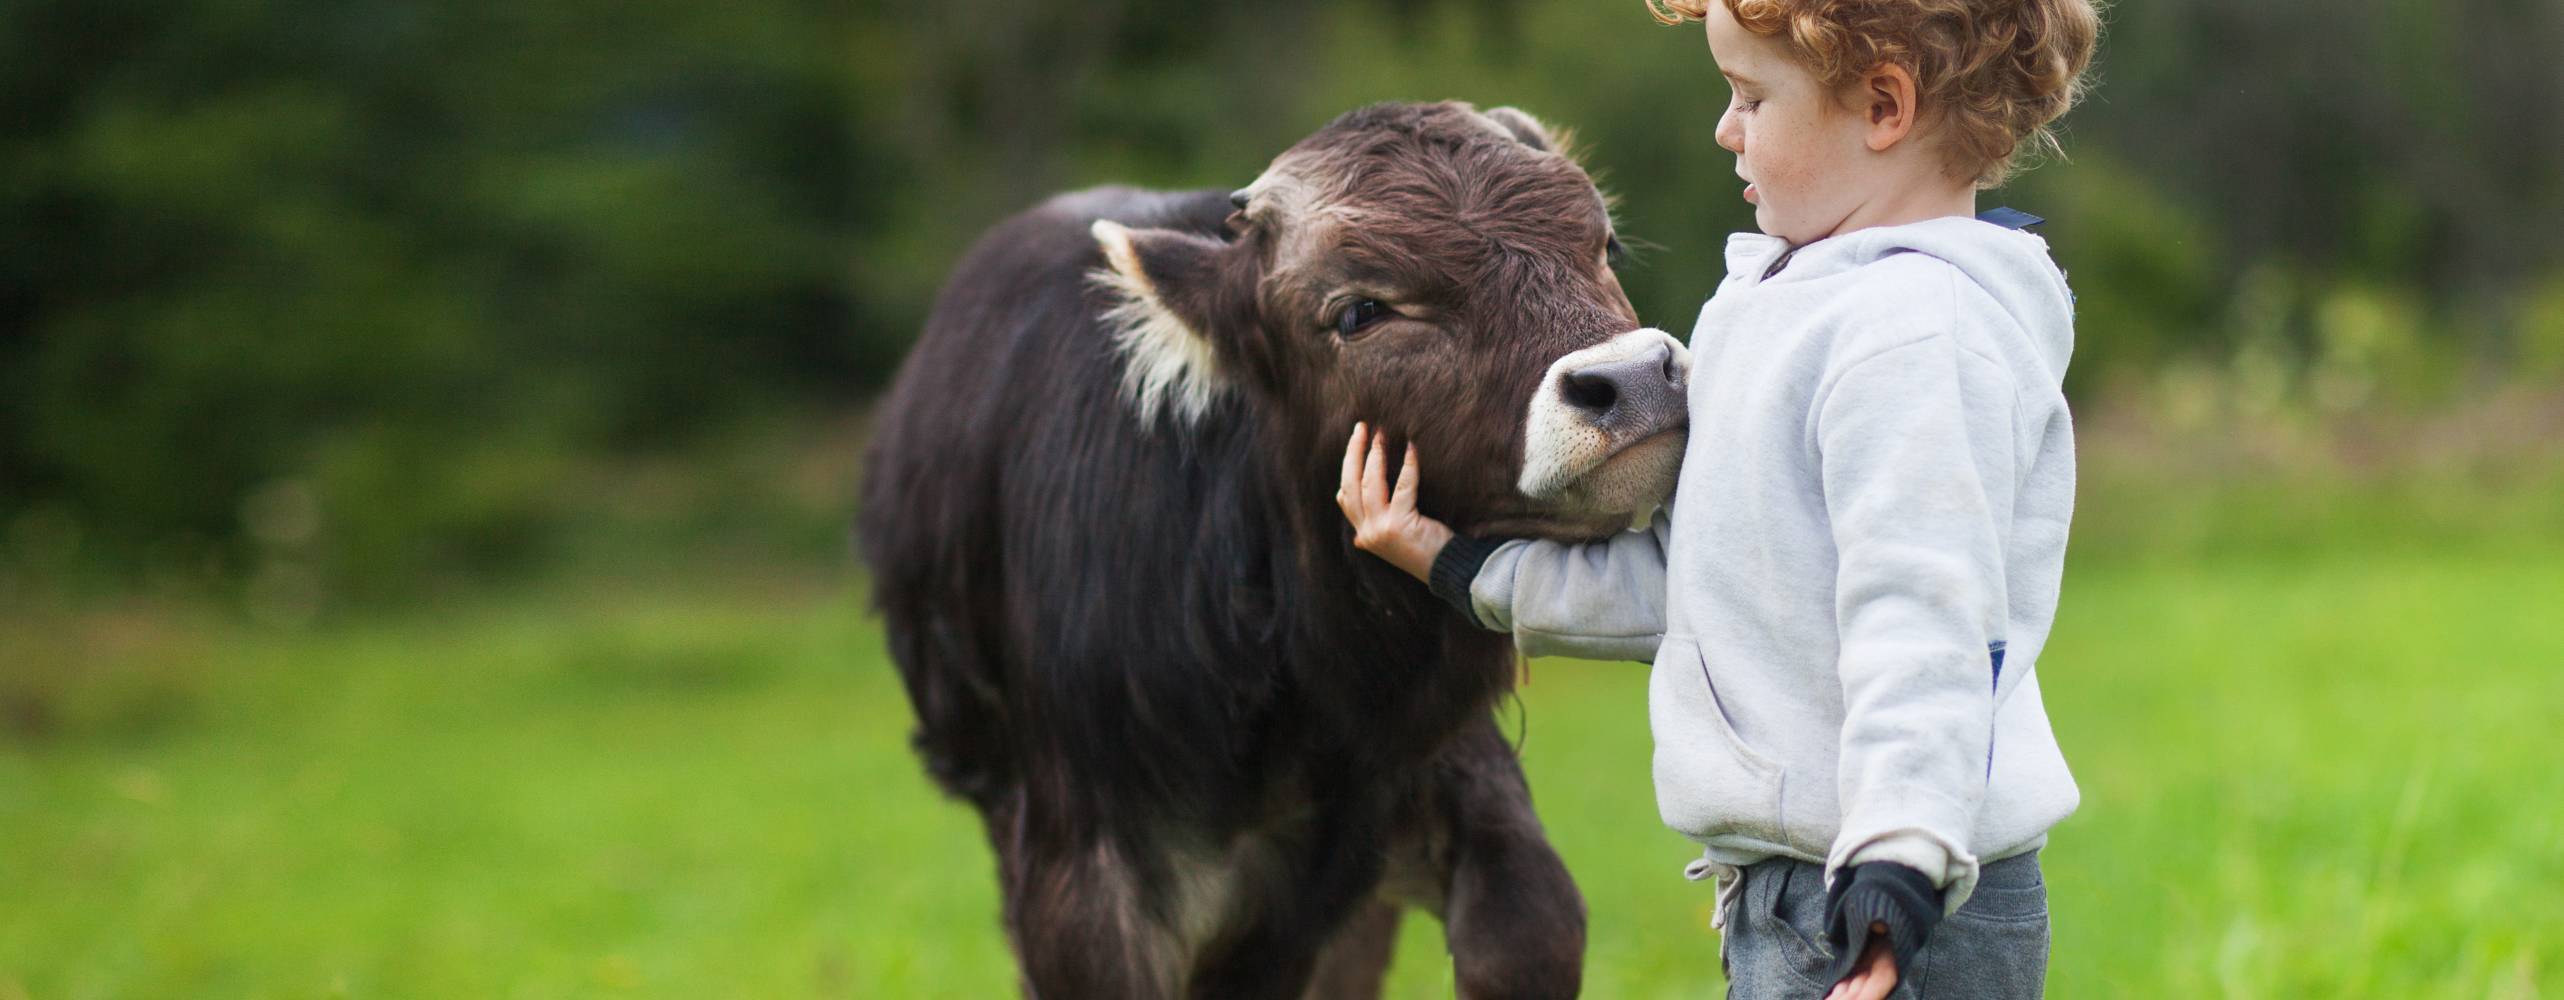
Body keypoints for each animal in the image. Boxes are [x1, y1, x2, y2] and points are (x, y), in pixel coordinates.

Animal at [858, 101, 1689, 999]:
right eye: (1360, 311)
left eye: (1604, 245)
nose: (1632, 381)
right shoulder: (1081, 868)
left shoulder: (1429, 769)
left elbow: (1530, 930)